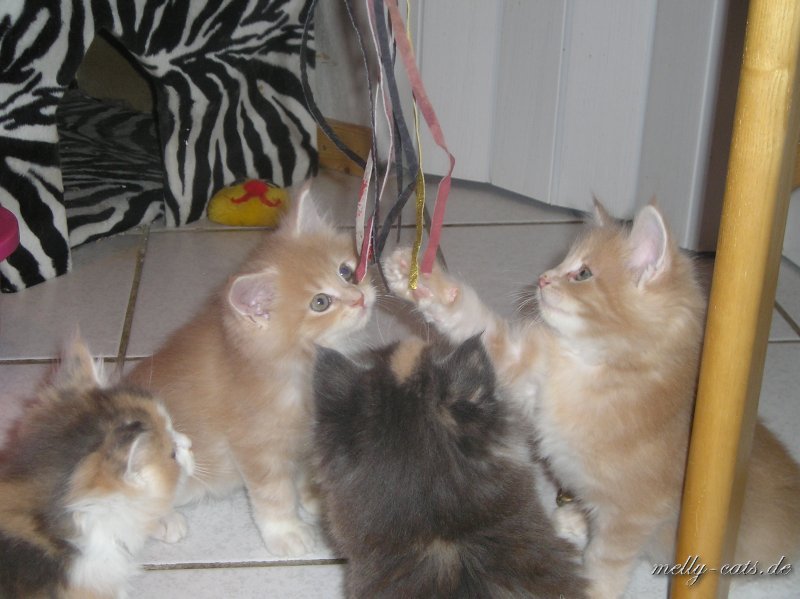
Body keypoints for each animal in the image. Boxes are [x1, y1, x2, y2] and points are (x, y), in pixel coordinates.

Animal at [127, 183, 377, 557]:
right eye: (320, 302)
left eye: (346, 271)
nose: (359, 298)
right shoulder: (257, 447)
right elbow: (274, 496)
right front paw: (286, 531)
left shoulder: (305, 435)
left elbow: (305, 470)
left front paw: (316, 497)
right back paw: (163, 521)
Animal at [384, 202, 800, 598]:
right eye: (562, 263)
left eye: (582, 273)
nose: (542, 278)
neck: (593, 369)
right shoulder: (526, 368)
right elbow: (471, 319)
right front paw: (417, 277)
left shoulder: (634, 514)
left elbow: (605, 560)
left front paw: (592, 589)